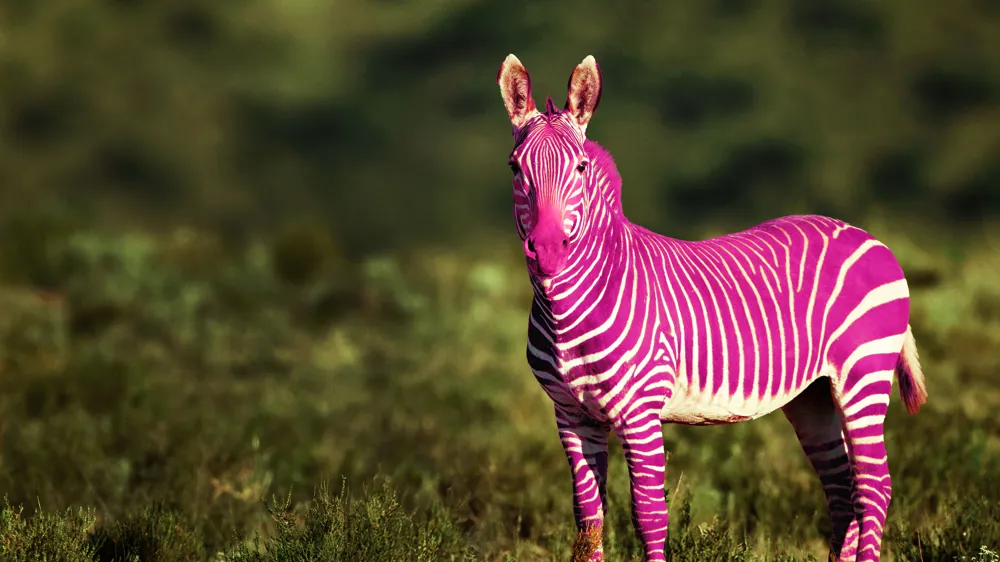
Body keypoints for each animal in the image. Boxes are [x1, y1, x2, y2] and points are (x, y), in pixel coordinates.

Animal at [495, 54, 927, 562]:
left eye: (580, 168)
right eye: (514, 168)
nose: (547, 250)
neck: (569, 311)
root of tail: (869, 237)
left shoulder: (639, 411)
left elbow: (648, 515)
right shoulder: (570, 414)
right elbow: (588, 521)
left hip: (863, 375)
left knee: (874, 487)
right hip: (814, 394)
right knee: (843, 489)